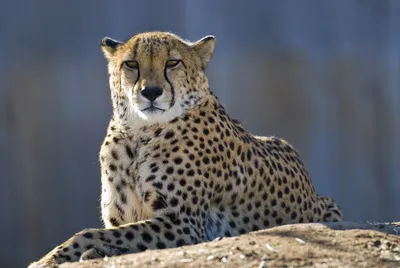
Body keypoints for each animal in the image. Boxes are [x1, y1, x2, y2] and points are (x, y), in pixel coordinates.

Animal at [28, 31, 340, 268]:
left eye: (172, 63)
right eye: (131, 64)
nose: (151, 92)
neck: (138, 133)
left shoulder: (183, 223)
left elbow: (90, 234)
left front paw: (48, 259)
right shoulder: (125, 218)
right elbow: (108, 233)